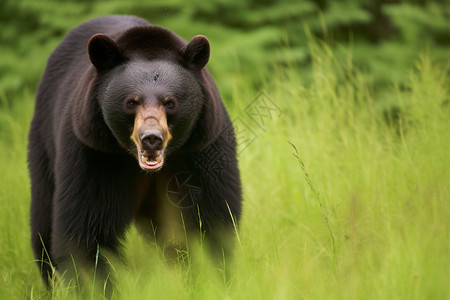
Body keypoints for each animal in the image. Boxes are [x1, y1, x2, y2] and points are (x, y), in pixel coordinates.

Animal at [28, 15, 243, 288]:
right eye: (131, 102)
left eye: (170, 102)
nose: (151, 138)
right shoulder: (94, 152)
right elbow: (87, 229)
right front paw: (96, 286)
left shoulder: (202, 148)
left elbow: (213, 217)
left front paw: (214, 279)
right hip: (44, 144)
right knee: (43, 225)